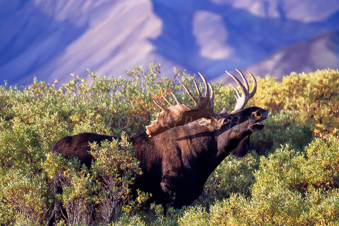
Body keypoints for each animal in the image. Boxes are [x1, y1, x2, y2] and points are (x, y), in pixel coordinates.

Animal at [48, 69, 268, 224]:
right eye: (228, 119)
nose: (260, 112)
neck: (203, 160)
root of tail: (52, 151)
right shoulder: (170, 194)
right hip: (69, 196)